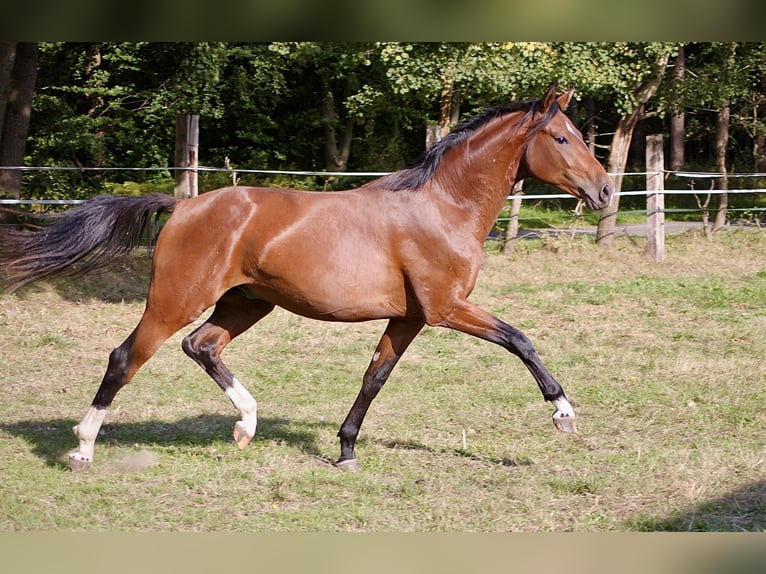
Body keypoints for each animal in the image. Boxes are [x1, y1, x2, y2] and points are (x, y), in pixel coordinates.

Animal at [0, 85, 612, 472]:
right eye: (562, 138)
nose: (605, 190)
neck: (443, 207)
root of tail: (184, 206)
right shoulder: (446, 308)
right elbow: (520, 339)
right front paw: (563, 412)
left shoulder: (410, 317)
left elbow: (374, 378)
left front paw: (346, 451)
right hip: (176, 299)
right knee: (126, 358)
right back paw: (83, 450)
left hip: (246, 303)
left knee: (201, 346)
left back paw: (246, 425)